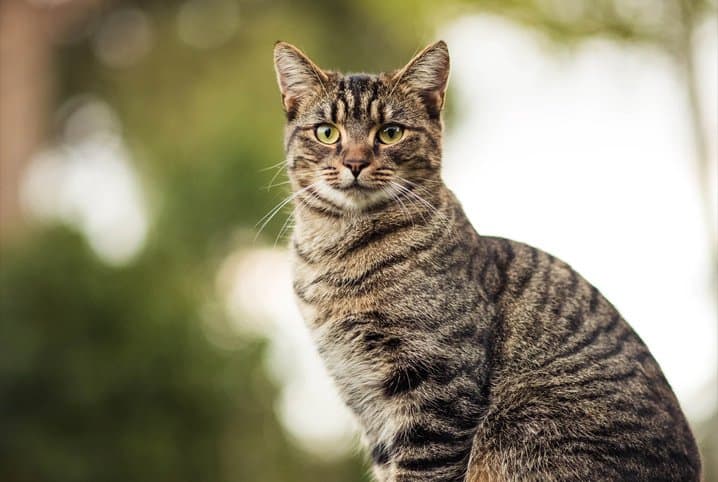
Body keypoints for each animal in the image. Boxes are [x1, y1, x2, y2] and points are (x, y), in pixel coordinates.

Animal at [272, 39, 704, 480]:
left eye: (390, 133)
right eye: (327, 132)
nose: (355, 163)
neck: (337, 252)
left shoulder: (438, 386)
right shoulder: (362, 396)